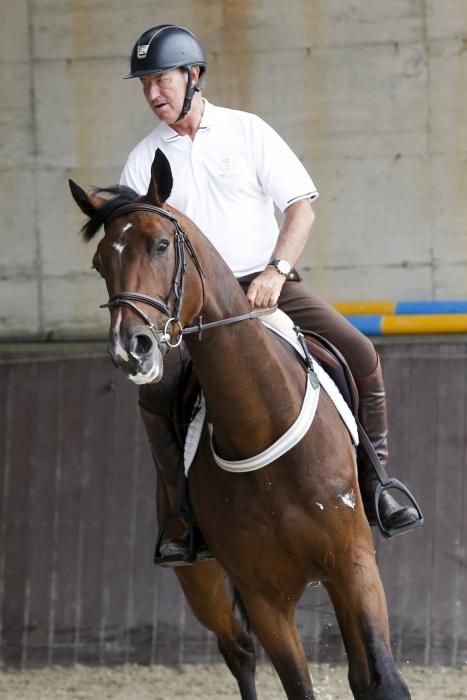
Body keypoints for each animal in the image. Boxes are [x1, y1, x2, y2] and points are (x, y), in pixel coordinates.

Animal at [68, 150, 410, 696]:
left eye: (160, 244)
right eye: (101, 262)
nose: (131, 348)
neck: (260, 424)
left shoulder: (354, 565)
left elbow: (384, 678)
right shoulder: (263, 596)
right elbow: (296, 686)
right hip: (202, 584)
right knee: (239, 653)